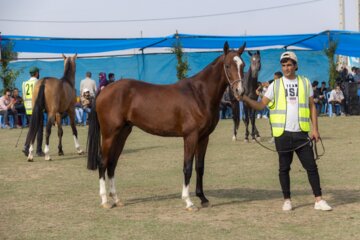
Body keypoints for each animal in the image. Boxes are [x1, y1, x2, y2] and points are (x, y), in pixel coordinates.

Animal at [87, 41, 246, 210]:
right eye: (227, 65)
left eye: (242, 65)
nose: (240, 91)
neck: (199, 94)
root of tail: (104, 91)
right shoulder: (190, 136)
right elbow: (187, 167)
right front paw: (188, 201)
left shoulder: (204, 137)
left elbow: (200, 167)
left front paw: (202, 198)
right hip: (109, 134)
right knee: (102, 162)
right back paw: (105, 200)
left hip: (122, 133)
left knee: (112, 162)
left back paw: (117, 199)